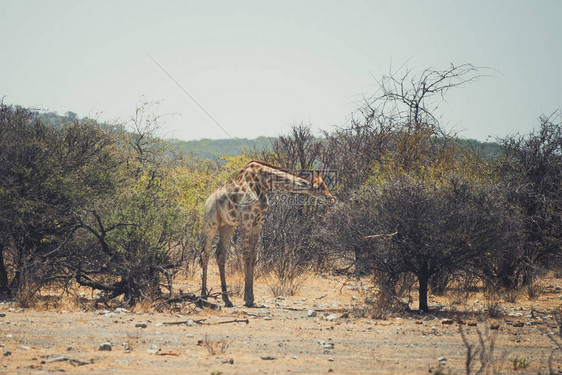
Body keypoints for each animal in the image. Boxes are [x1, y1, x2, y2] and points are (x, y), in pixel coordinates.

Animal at [200, 160, 332, 306]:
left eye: (325, 185)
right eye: (319, 187)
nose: (330, 198)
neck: (262, 182)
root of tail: (207, 200)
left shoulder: (258, 222)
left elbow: (253, 256)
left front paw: (251, 298)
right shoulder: (246, 219)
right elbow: (246, 255)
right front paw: (247, 298)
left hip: (228, 226)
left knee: (220, 254)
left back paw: (226, 299)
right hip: (211, 223)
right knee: (205, 253)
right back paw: (203, 296)